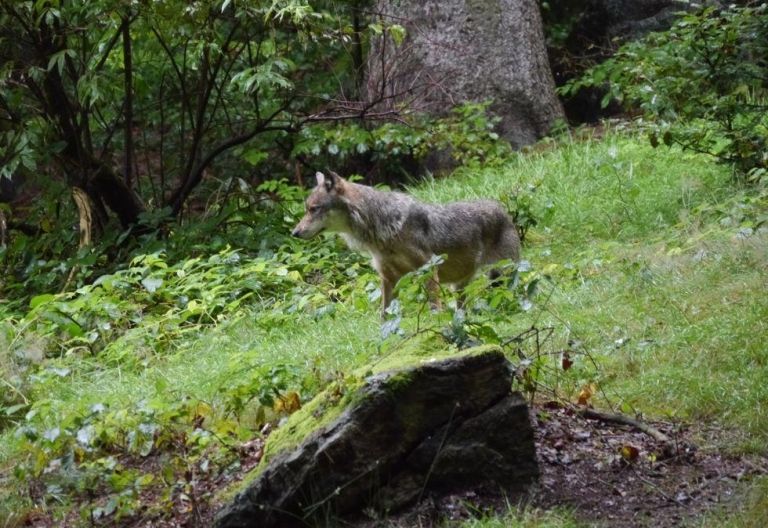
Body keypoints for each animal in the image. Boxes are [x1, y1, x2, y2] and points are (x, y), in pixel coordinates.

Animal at [292, 171, 521, 315]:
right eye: (307, 209)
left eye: (313, 209)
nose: (295, 232)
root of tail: (503, 210)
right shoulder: (388, 277)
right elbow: (384, 314)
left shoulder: (428, 268)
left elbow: (434, 306)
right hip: (461, 285)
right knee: (461, 307)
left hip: (504, 274)